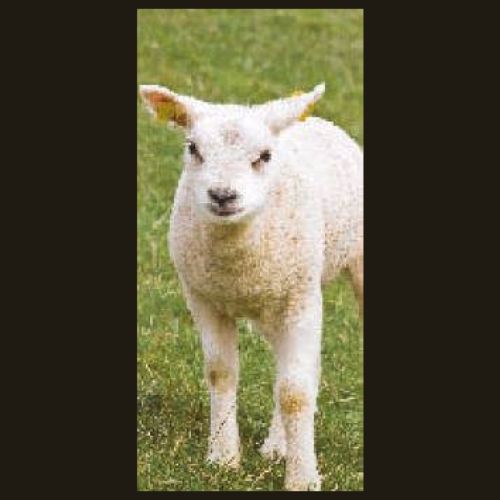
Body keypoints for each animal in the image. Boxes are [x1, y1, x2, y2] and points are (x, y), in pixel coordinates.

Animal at [139, 82, 363, 491]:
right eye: (192, 148)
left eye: (264, 156)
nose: (222, 195)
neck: (237, 266)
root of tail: (315, 120)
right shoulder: (202, 298)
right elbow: (221, 372)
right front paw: (223, 457)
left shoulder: (300, 297)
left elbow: (295, 392)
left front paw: (303, 478)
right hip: (272, 304)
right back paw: (278, 445)